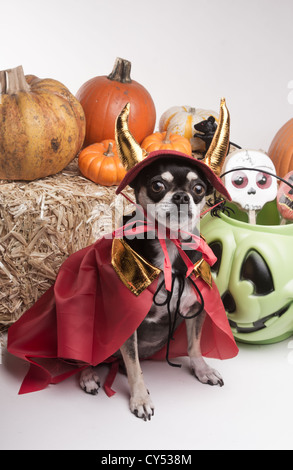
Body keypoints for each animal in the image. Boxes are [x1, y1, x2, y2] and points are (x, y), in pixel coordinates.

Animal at [78, 156, 222, 420]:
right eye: (157, 185)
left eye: (198, 189)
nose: (181, 196)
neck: (170, 245)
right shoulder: (127, 324)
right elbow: (135, 368)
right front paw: (141, 399)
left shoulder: (195, 310)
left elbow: (194, 345)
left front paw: (202, 369)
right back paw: (88, 375)